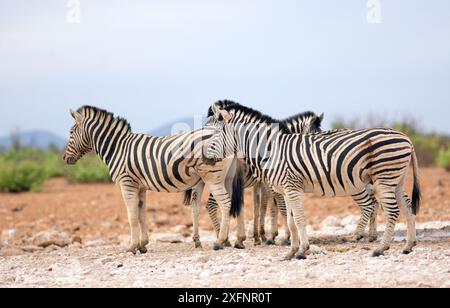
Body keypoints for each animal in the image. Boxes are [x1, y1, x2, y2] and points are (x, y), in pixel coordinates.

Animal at [62, 106, 244, 253]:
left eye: (70, 132)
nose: (64, 158)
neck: (118, 148)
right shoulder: (140, 187)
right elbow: (141, 214)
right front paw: (142, 245)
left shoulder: (127, 183)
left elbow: (132, 215)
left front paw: (132, 246)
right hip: (225, 178)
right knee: (230, 203)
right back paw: (227, 241)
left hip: (212, 177)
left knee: (225, 203)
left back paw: (220, 241)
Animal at [204, 101, 422, 260]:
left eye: (213, 134)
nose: (203, 156)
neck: (271, 150)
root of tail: (406, 138)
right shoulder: (285, 190)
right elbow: (290, 221)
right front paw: (291, 251)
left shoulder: (291, 188)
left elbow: (299, 219)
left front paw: (302, 251)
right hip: (396, 179)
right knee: (407, 206)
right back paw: (408, 245)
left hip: (384, 178)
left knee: (391, 210)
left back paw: (381, 248)